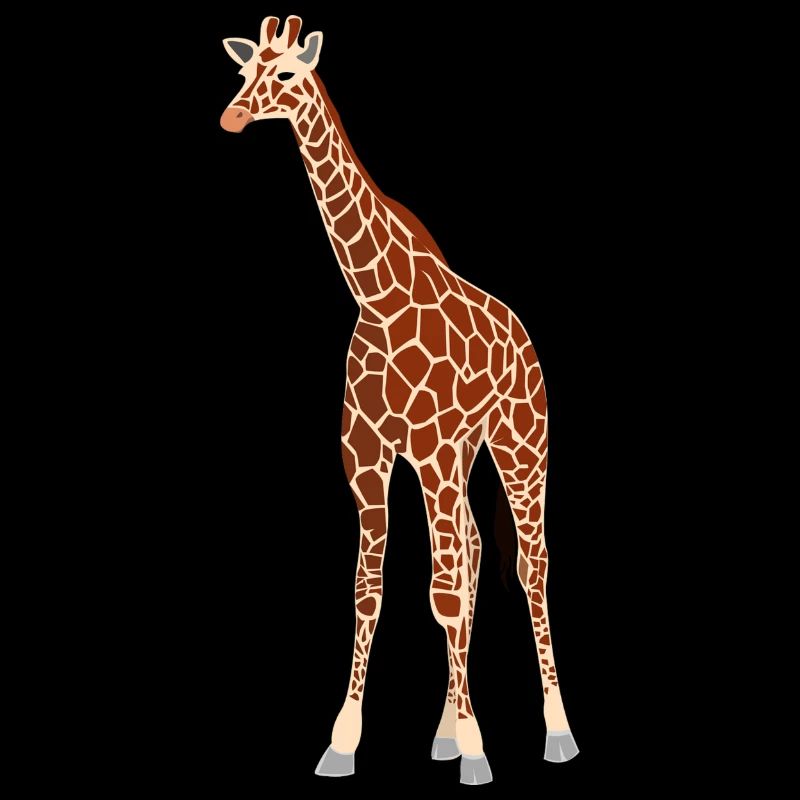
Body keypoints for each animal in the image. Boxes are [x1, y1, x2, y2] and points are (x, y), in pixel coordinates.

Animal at [220, 16, 579, 785]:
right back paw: (444, 730)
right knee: (472, 549)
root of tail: (525, 338)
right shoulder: (367, 456)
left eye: (286, 74)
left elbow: (444, 593)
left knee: (526, 565)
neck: (377, 296)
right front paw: (343, 742)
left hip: (518, 442)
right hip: (459, 455)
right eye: (242, 71)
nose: (233, 116)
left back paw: (556, 731)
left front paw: (477, 749)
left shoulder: (434, 448)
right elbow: (372, 589)